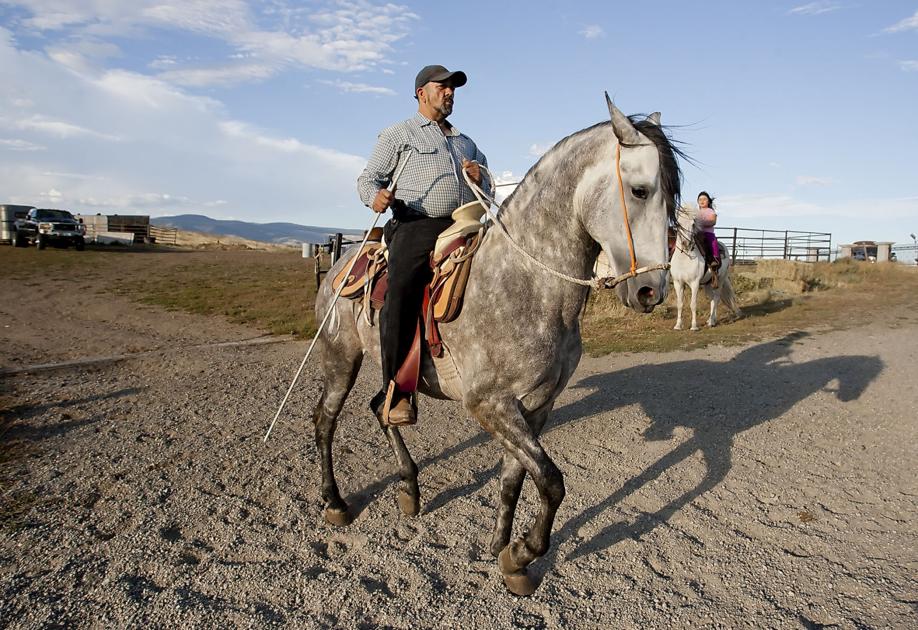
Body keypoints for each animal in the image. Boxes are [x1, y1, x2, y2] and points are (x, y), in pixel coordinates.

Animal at [309, 101, 682, 596]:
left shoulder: (536, 405)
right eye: (640, 190)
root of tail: (341, 261)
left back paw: (409, 489)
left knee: (381, 408)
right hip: (340, 359)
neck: (526, 282)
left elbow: (515, 478)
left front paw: (503, 552)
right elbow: (552, 481)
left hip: (395, 377)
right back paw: (335, 502)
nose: (650, 291)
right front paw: (523, 551)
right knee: (325, 420)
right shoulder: (488, 403)